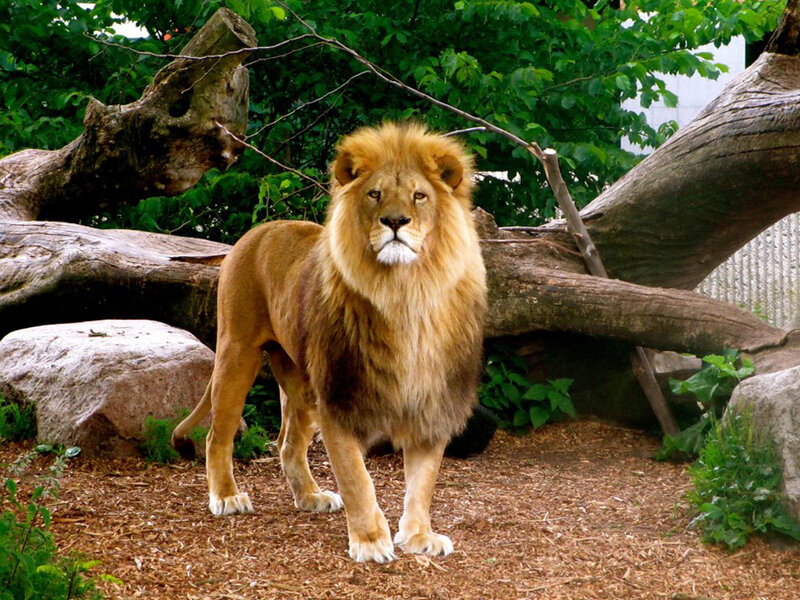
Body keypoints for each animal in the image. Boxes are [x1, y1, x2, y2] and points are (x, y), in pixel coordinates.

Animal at [172, 122, 487, 563]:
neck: (406, 294)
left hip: (301, 380)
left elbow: (423, 482)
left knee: (287, 444)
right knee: (219, 434)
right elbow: (357, 478)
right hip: (237, 352)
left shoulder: (431, 398)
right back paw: (226, 497)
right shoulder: (339, 395)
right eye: (374, 194)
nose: (395, 221)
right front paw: (370, 542)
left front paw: (419, 536)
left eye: (419, 195)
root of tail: (258, 230)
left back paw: (310, 496)